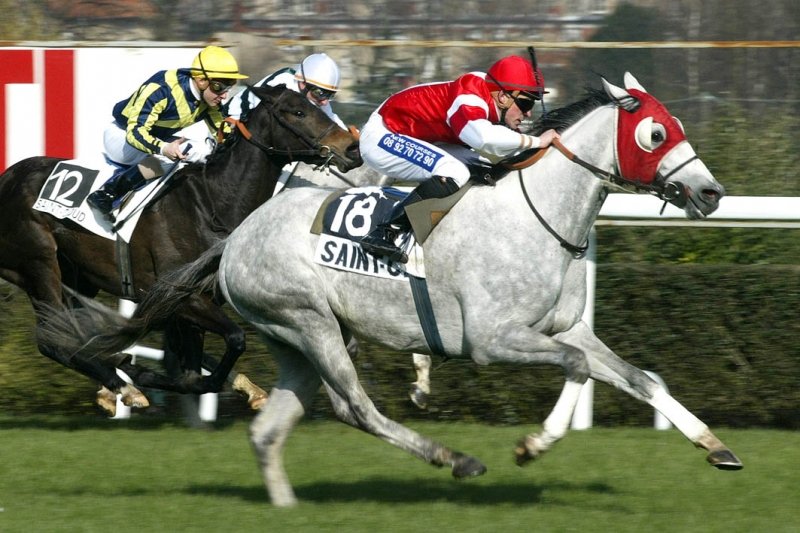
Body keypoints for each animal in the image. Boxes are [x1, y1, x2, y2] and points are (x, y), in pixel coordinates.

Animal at [0, 84, 361, 414]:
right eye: (297, 112)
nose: (352, 147)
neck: (213, 204)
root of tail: (7, 179)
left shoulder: (191, 304)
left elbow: (192, 366)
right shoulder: (181, 295)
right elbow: (227, 347)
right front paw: (139, 376)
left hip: (77, 277)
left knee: (73, 331)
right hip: (39, 264)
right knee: (51, 339)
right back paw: (123, 386)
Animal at [38, 73, 742, 506]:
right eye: (656, 133)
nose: (710, 192)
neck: (535, 214)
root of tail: (234, 239)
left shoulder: (566, 327)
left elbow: (638, 376)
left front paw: (718, 449)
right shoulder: (493, 339)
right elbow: (574, 369)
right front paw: (532, 445)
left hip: (297, 338)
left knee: (270, 429)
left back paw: (286, 501)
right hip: (311, 323)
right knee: (356, 408)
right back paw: (456, 459)